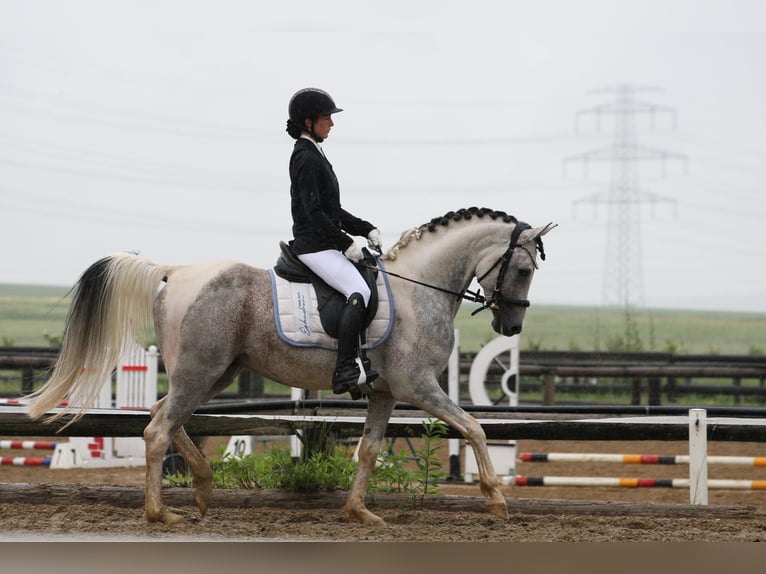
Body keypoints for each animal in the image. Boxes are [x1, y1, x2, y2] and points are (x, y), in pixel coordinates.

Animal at [26, 207, 555, 526]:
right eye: (523, 269)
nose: (511, 326)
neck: (419, 287)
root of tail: (176, 272)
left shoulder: (385, 393)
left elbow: (368, 450)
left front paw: (359, 512)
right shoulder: (419, 387)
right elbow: (474, 428)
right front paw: (496, 497)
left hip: (214, 374)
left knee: (163, 415)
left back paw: (203, 488)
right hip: (200, 372)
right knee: (158, 429)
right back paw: (161, 514)